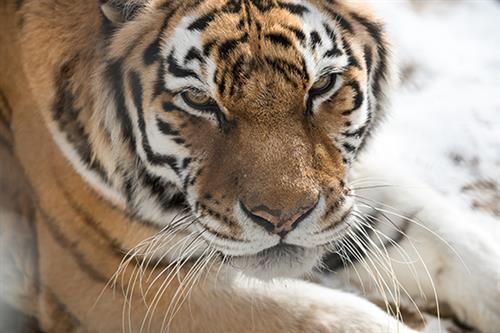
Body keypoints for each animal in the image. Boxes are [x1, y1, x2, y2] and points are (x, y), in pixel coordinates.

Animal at [0, 0, 500, 330]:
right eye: (198, 99)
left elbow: (448, 233)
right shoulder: (119, 279)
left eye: (322, 86)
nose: (283, 218)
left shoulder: (342, 194)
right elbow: (333, 316)